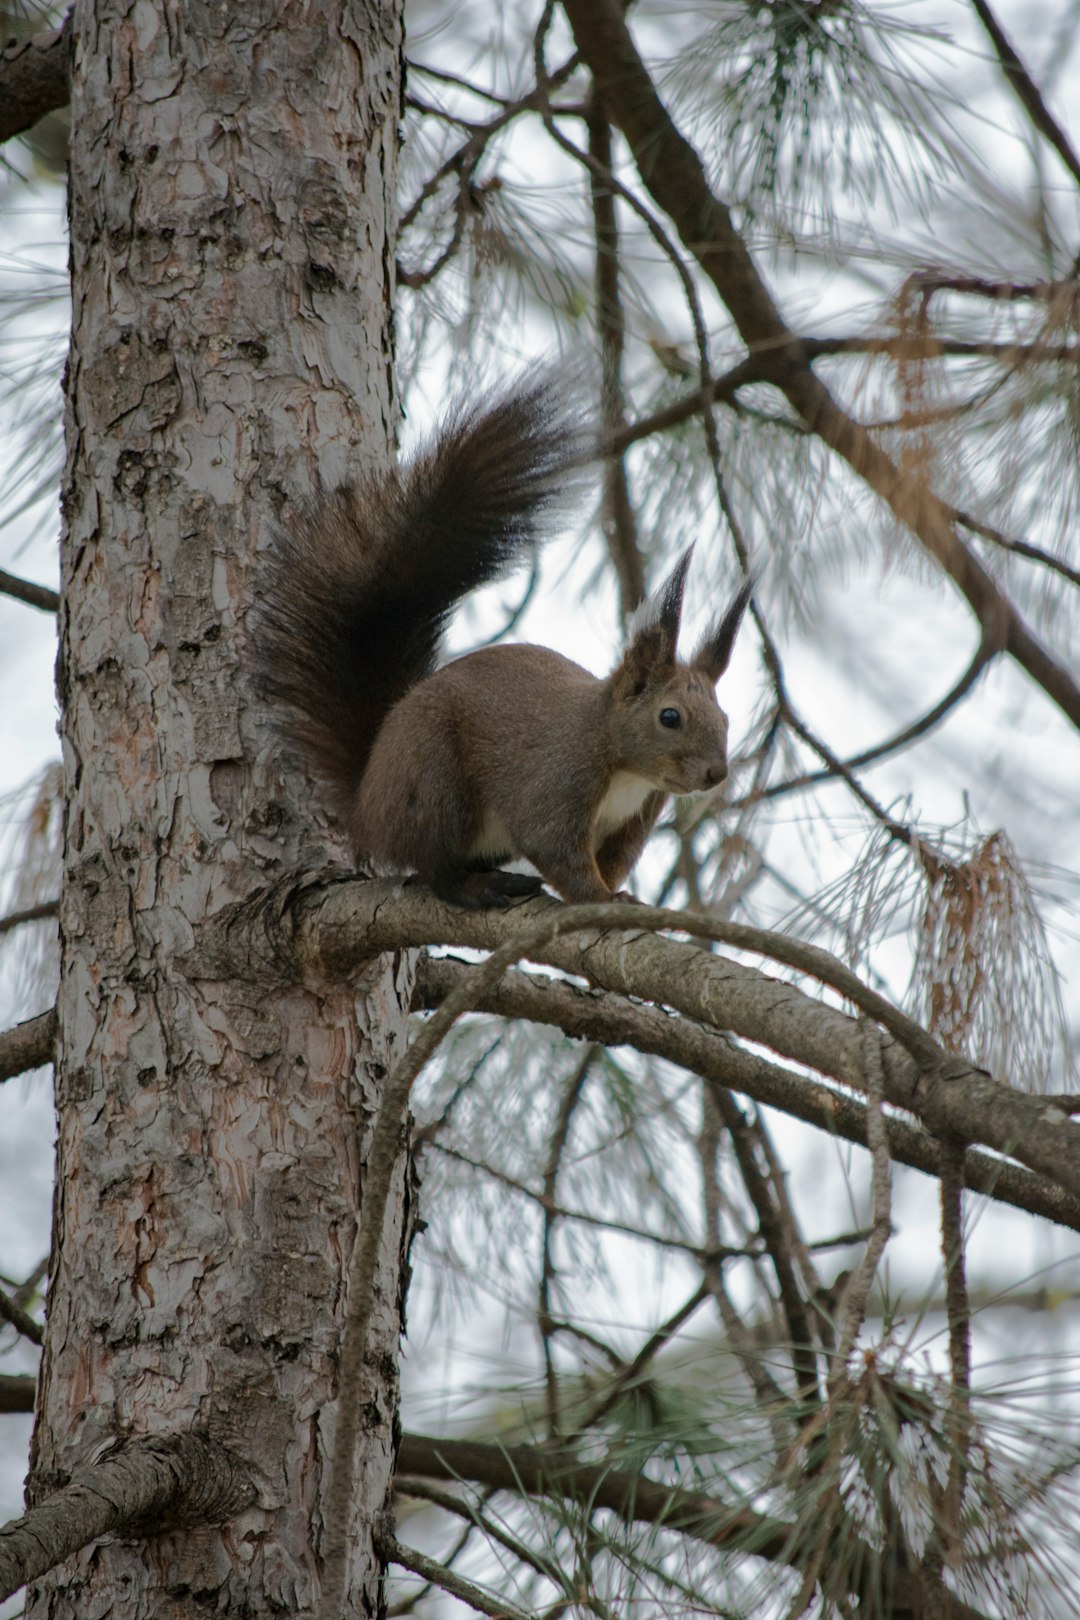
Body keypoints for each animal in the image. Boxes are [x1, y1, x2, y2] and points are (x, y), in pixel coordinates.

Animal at [260, 370, 751, 913]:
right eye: (670, 717)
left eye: (726, 717)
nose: (716, 774)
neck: (621, 762)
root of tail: (367, 801)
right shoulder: (557, 780)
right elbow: (554, 848)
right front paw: (601, 899)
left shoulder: (635, 818)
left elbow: (612, 859)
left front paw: (619, 891)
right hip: (434, 784)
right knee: (435, 870)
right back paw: (480, 887)